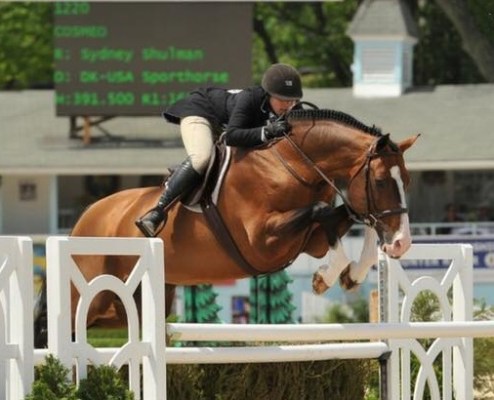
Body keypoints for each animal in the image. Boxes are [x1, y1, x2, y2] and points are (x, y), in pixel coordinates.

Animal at [34, 108, 418, 346]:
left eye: (407, 180)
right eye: (381, 181)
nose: (402, 243)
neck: (291, 165)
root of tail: (84, 220)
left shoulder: (307, 239)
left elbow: (349, 217)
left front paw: (351, 273)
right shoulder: (263, 240)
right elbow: (324, 213)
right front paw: (327, 276)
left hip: (126, 303)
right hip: (91, 295)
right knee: (58, 323)